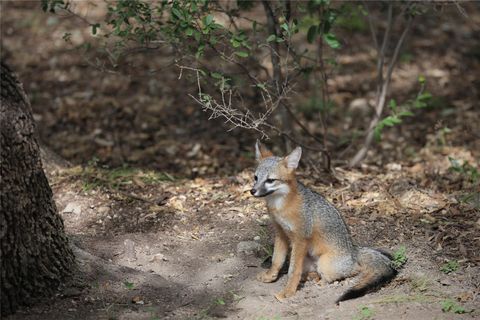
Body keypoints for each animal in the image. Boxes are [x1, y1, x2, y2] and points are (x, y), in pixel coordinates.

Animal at [251, 141, 398, 304]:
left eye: (270, 180)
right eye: (256, 177)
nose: (252, 191)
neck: (280, 205)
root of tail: (353, 251)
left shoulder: (300, 238)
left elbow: (293, 270)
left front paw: (287, 292)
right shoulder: (281, 233)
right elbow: (277, 260)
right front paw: (270, 276)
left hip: (324, 264)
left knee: (353, 271)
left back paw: (322, 281)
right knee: (310, 272)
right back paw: (309, 277)